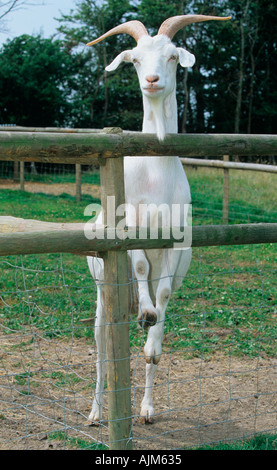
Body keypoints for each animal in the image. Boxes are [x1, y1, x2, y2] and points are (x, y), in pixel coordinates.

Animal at [85, 12, 230, 424]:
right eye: (134, 59)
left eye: (172, 57)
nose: (151, 81)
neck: (155, 170)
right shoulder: (130, 230)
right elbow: (138, 267)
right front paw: (148, 309)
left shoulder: (176, 242)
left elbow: (162, 297)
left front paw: (152, 330)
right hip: (102, 295)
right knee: (103, 352)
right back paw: (95, 412)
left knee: (147, 351)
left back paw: (147, 407)